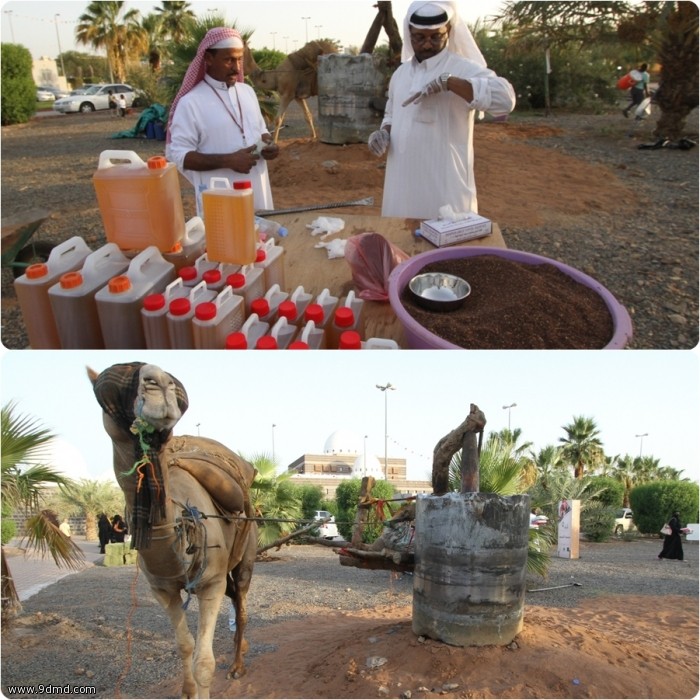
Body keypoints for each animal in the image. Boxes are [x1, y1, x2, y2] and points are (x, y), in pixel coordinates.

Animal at [87, 364, 258, 696]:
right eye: (106, 394)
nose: (159, 383)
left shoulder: (211, 582)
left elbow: (205, 661)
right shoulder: (161, 589)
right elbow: (184, 645)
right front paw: (187, 690)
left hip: (247, 554)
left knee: (242, 605)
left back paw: (237, 667)